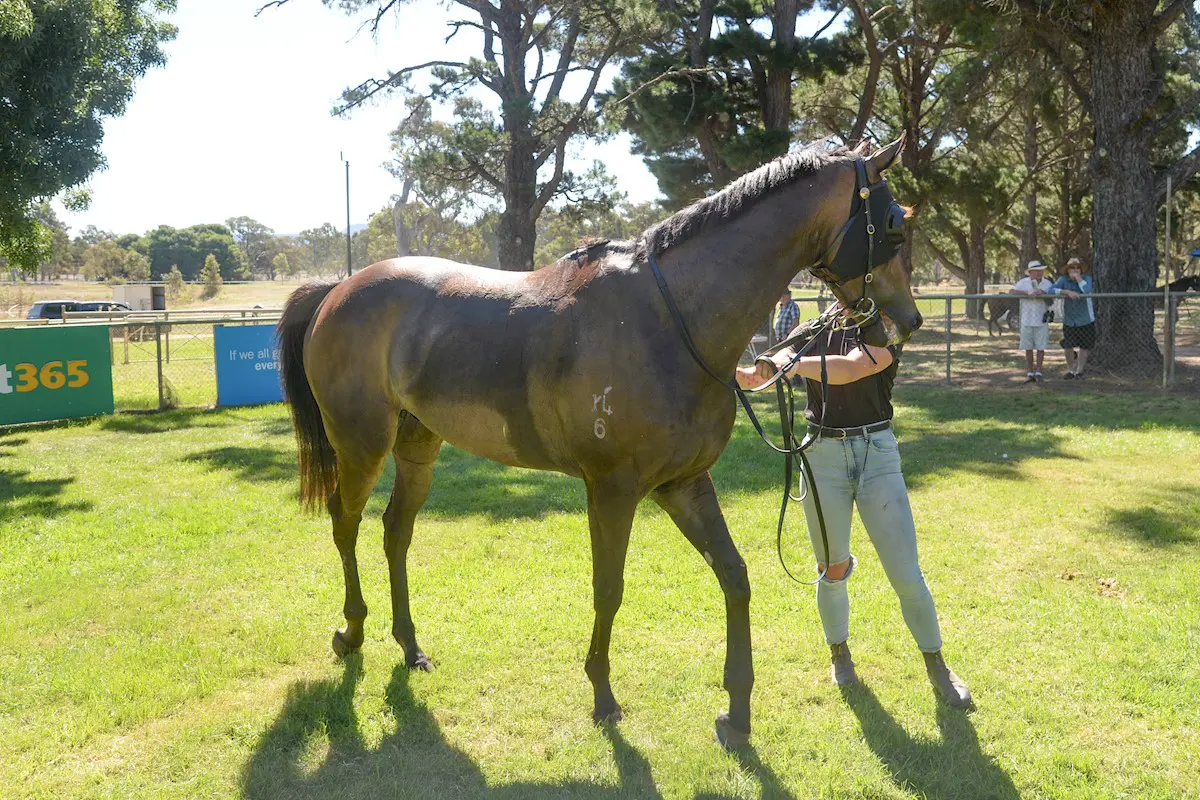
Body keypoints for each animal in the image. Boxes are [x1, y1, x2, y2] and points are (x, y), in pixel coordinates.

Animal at [278, 139, 916, 753]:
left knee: (396, 532)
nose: (903, 324)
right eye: (893, 225)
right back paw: (352, 632)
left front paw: (736, 714)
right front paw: (603, 697)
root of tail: (339, 288)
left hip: (417, 445)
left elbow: (734, 577)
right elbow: (608, 589)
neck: (670, 318)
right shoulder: (611, 490)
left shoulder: (684, 485)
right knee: (345, 522)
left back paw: (409, 645)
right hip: (360, 444)